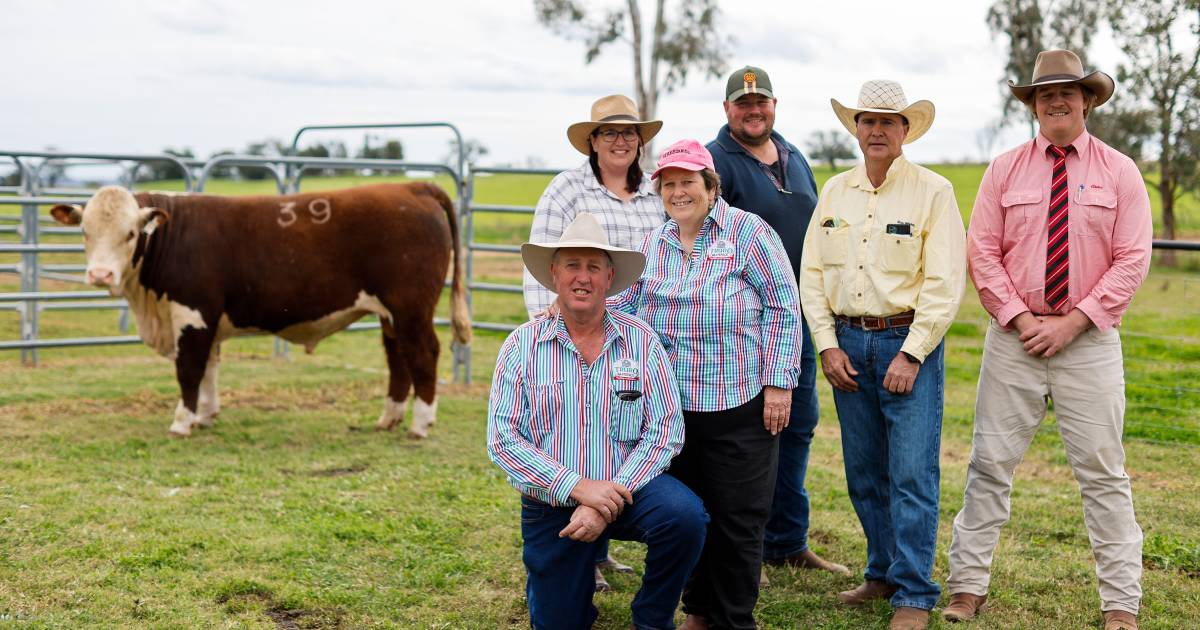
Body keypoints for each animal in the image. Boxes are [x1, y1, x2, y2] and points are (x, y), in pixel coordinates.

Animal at [51, 181, 472, 436]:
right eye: (85, 232)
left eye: (130, 233)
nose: (100, 274)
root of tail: (410, 186)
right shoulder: (207, 320)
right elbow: (210, 369)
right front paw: (207, 415)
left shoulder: (192, 314)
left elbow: (189, 370)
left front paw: (182, 421)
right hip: (390, 314)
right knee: (397, 357)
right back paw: (389, 418)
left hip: (411, 307)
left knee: (423, 354)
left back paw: (420, 424)